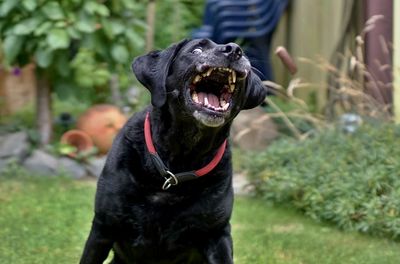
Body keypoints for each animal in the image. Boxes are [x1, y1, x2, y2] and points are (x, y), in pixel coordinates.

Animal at [79, 38, 268, 262]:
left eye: (241, 52)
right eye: (197, 49)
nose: (234, 50)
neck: (179, 161)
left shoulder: (217, 234)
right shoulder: (103, 228)